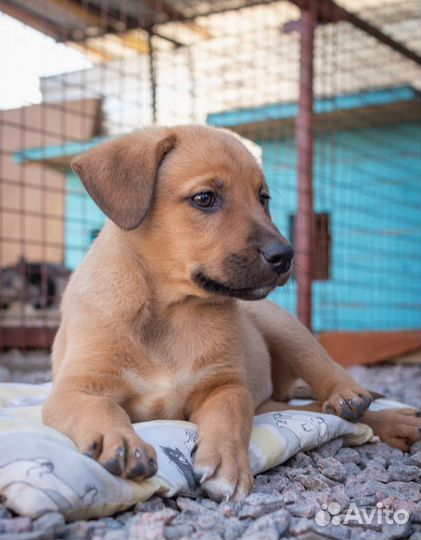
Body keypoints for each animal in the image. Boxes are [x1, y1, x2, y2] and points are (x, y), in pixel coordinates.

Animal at [43, 124, 420, 500]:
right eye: (205, 198)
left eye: (263, 198)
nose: (285, 255)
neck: (168, 311)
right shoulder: (73, 390)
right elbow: (101, 405)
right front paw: (120, 440)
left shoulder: (225, 384)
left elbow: (231, 415)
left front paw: (227, 462)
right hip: (270, 403)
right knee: (317, 411)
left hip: (284, 327)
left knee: (330, 384)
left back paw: (359, 400)